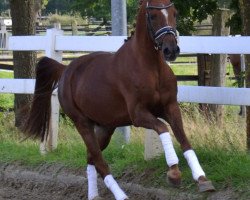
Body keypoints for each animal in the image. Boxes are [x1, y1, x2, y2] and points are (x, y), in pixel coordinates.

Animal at [23, 0, 215, 199]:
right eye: (153, 15)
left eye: (174, 13)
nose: (171, 50)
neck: (151, 68)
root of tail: (65, 69)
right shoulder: (138, 115)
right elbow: (163, 128)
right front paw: (174, 173)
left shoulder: (170, 107)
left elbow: (184, 139)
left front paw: (202, 180)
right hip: (82, 123)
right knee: (99, 161)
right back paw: (121, 195)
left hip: (106, 127)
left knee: (91, 157)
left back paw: (94, 195)